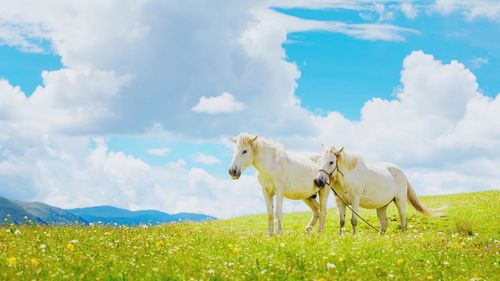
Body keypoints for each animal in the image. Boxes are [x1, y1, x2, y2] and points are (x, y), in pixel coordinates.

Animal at [314, 144, 444, 234]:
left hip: (400, 201)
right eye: (319, 161)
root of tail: (401, 172)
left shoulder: (355, 200)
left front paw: (354, 238)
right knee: (384, 224)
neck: (350, 174)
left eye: (331, 162)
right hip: (382, 206)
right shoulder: (340, 202)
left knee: (403, 223)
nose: (318, 181)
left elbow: (353, 221)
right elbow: (341, 222)